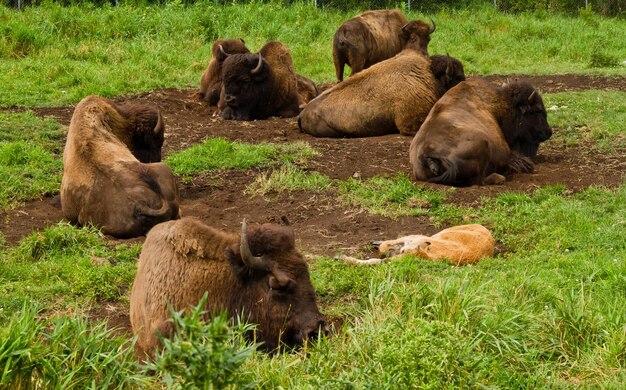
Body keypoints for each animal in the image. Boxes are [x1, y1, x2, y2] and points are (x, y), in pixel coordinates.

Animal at [410, 78, 552, 186]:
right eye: (537, 110)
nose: (548, 132)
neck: (499, 104)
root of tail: (426, 153)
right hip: (483, 144)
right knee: (479, 180)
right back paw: (499, 177)